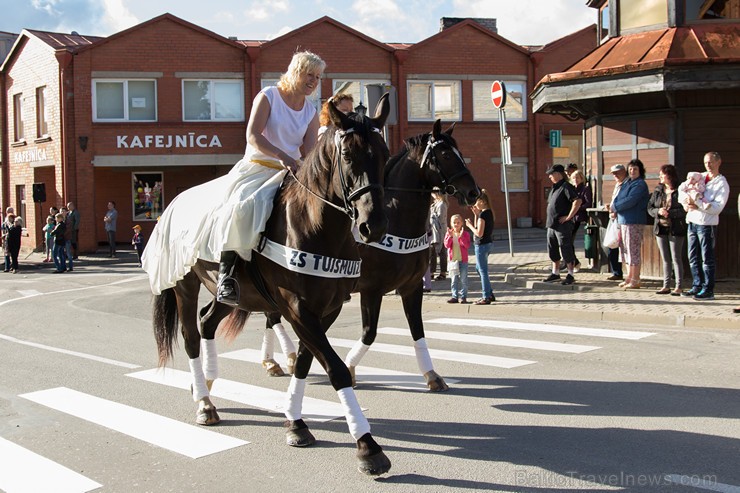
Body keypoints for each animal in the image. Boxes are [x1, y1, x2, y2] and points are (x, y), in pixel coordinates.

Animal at [151, 94, 394, 474]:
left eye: (384, 154)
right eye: (349, 155)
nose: (375, 225)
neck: (315, 226)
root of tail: (174, 201)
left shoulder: (326, 310)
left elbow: (307, 363)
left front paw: (296, 424)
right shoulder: (297, 308)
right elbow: (336, 369)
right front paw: (367, 446)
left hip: (233, 294)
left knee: (207, 321)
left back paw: (205, 381)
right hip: (184, 285)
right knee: (191, 335)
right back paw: (204, 403)